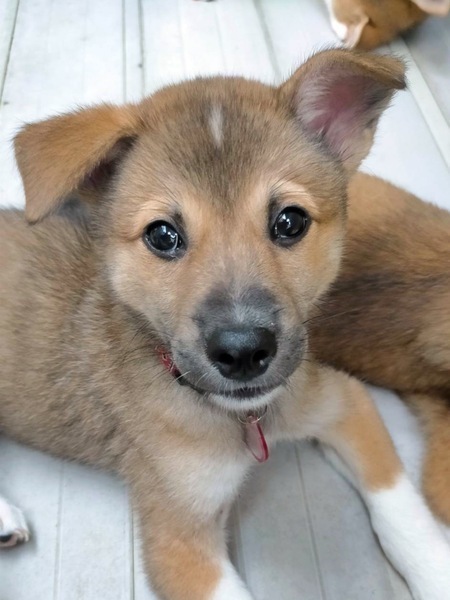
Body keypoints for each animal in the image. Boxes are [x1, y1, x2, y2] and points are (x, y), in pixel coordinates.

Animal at [1, 49, 450, 600]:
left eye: (290, 222)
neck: (243, 419)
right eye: (162, 235)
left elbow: (402, 508)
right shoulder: (179, 543)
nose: (243, 352)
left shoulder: (345, 403)